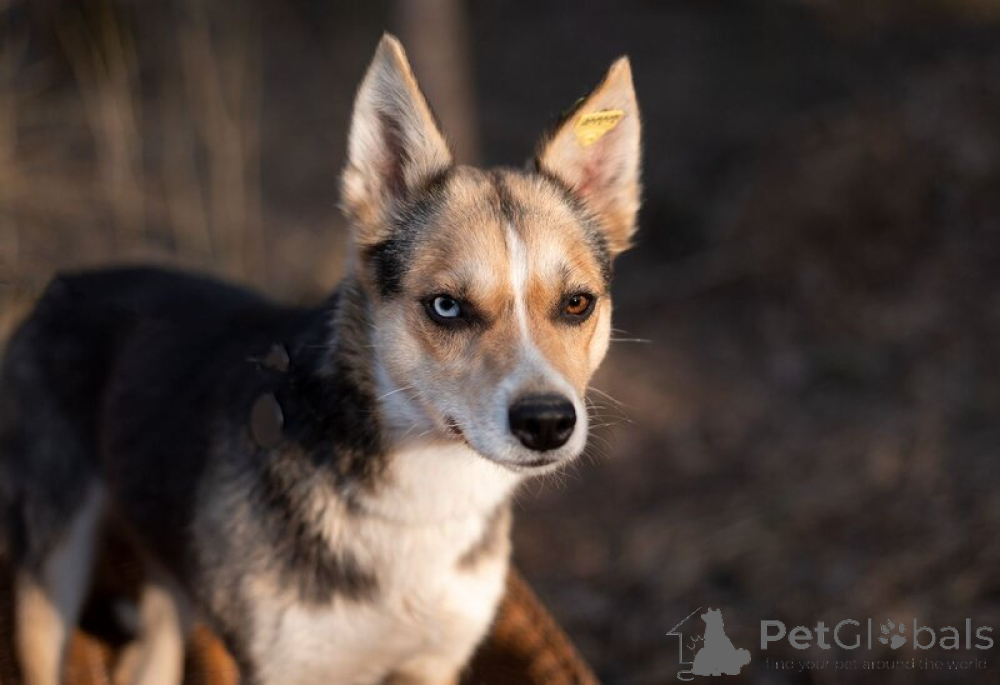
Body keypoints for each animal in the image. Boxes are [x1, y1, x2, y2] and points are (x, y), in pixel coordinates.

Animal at [0, 34, 641, 685]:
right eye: (446, 306)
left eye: (577, 303)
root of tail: (62, 285)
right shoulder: (286, 666)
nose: (547, 423)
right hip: (50, 571)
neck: (423, 496)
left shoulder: (431, 663)